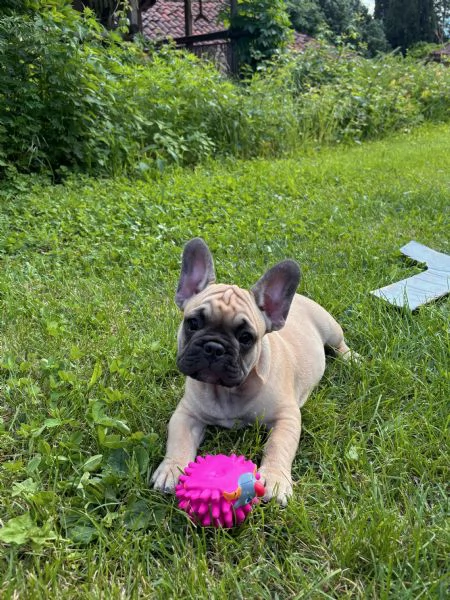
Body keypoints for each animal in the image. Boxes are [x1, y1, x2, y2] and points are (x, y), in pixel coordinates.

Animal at [151, 237, 356, 504]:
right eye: (192, 323)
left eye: (246, 338)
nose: (214, 347)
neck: (226, 391)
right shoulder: (186, 414)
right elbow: (179, 441)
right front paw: (171, 469)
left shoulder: (286, 417)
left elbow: (278, 446)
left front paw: (276, 480)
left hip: (331, 329)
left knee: (340, 344)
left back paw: (353, 359)